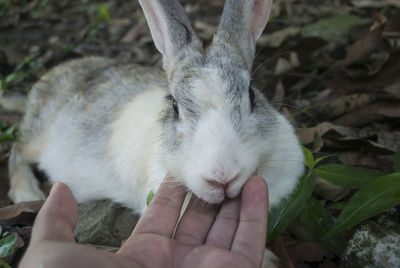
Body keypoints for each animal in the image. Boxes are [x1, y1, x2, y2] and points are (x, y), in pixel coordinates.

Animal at [7, 0, 304, 217]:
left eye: (252, 95)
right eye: (175, 106)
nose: (222, 177)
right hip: (36, 136)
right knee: (16, 152)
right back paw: (27, 194)